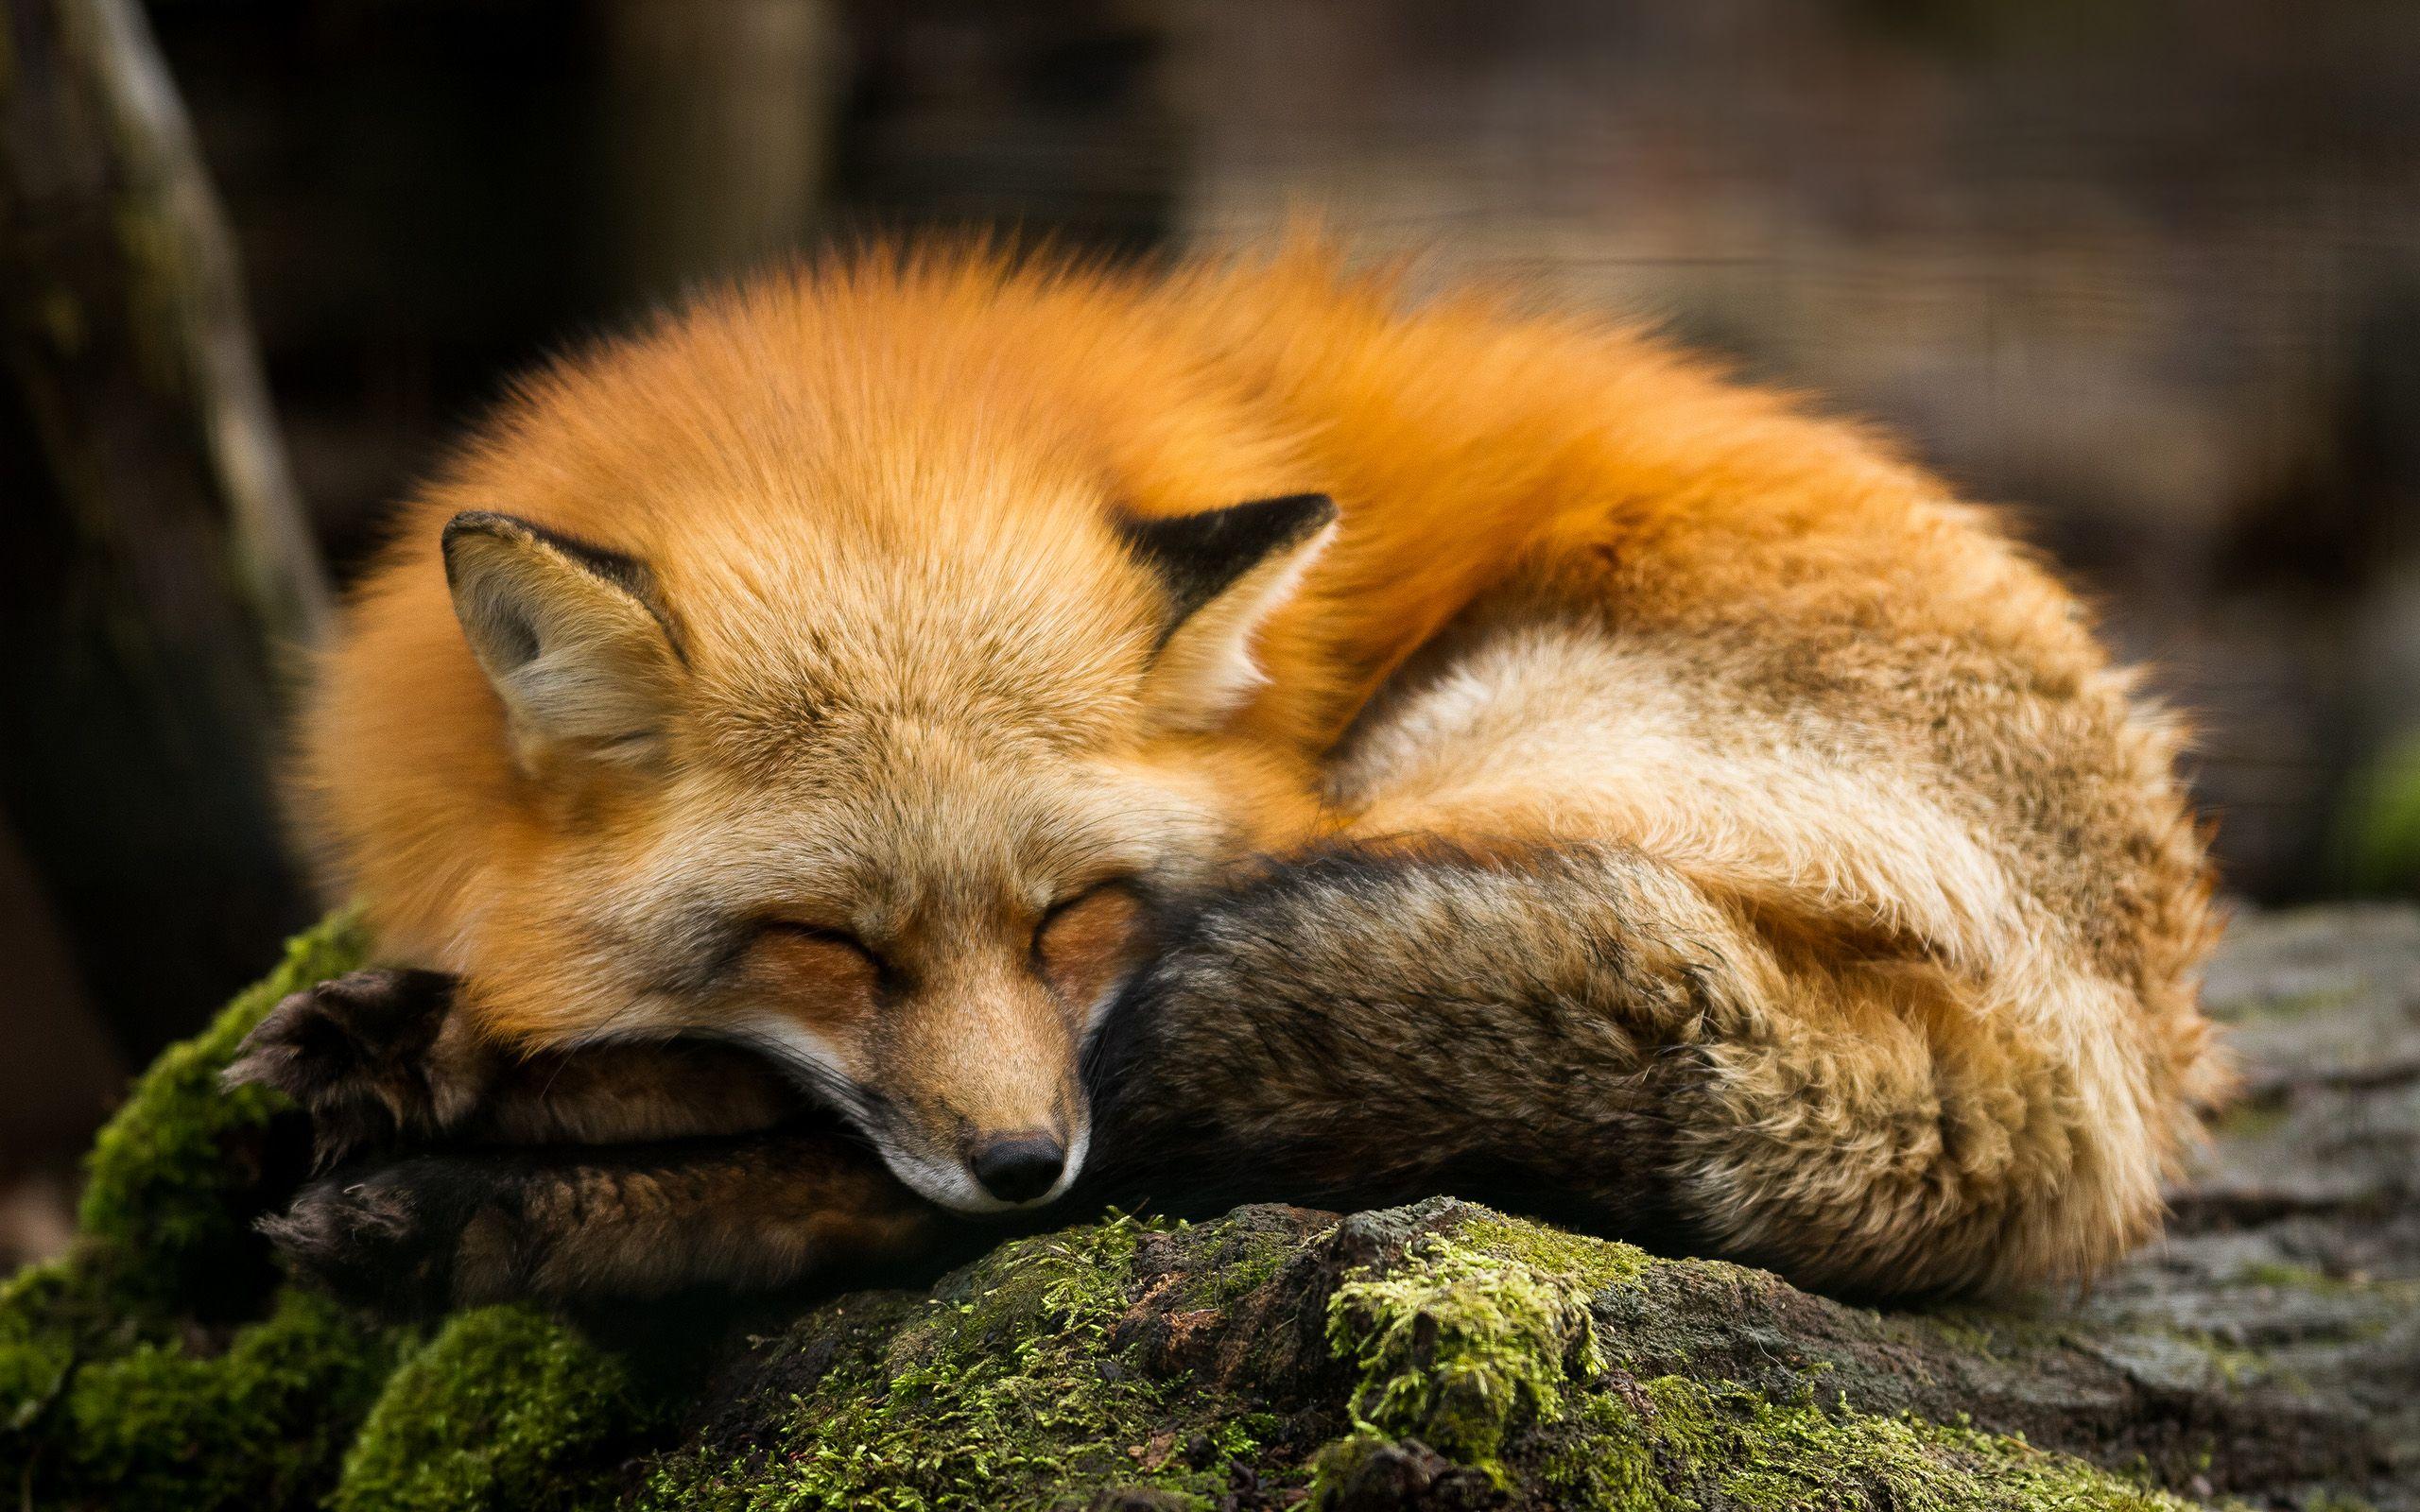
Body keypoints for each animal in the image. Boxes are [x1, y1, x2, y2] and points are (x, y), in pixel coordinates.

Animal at [231, 242, 2226, 1306]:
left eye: (1074, 917)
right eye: (830, 946)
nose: (1017, 1162)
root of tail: (2120, 1078)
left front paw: (460, 1066)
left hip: (1453, 785)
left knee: (1009, 1169)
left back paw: (473, 1187)